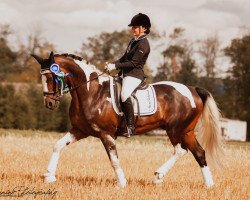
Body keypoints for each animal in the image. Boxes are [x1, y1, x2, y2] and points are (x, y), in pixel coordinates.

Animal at [31, 52, 225, 189]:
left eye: (51, 77)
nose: (49, 103)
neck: (90, 92)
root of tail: (193, 89)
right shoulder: (80, 130)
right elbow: (58, 145)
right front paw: (49, 176)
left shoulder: (106, 134)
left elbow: (114, 159)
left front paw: (122, 183)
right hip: (187, 131)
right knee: (198, 152)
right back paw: (208, 184)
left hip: (176, 130)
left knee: (181, 150)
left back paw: (159, 175)